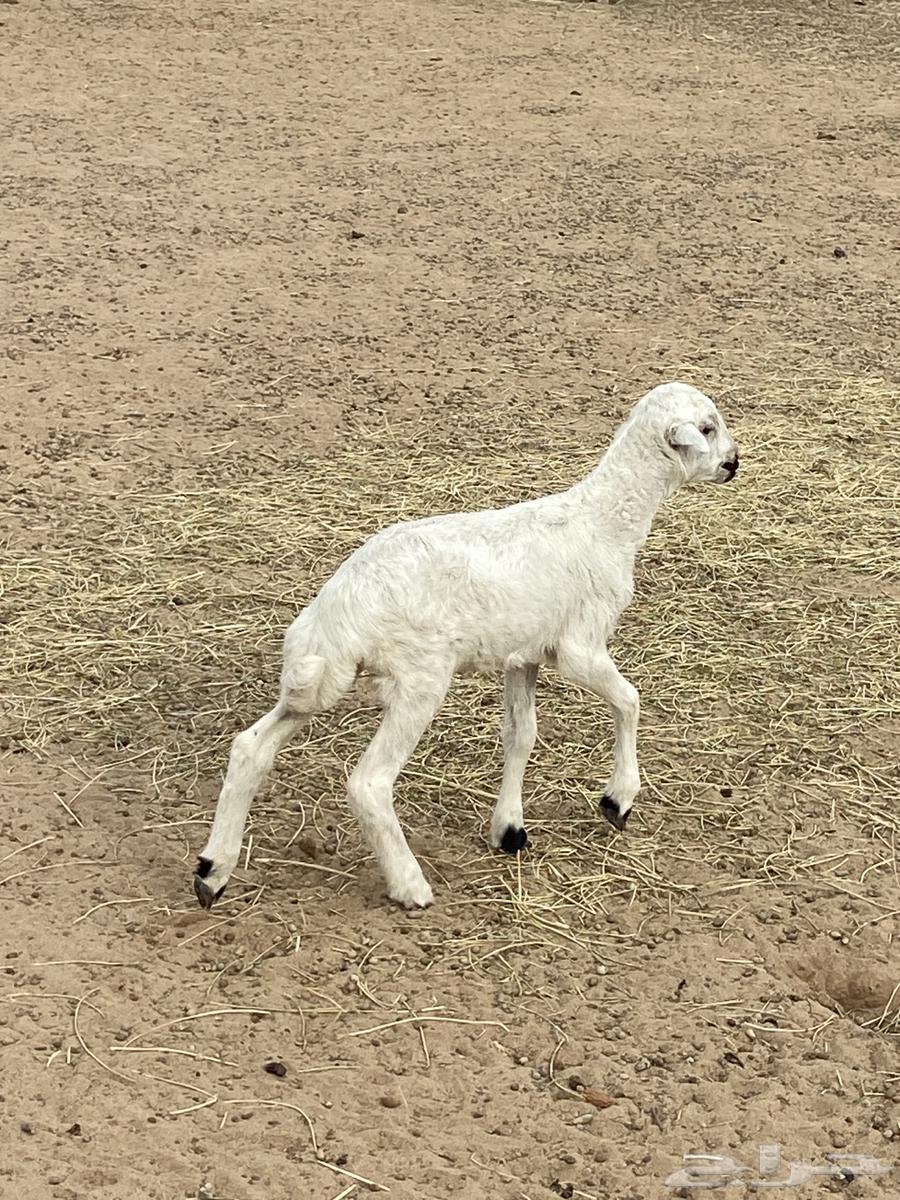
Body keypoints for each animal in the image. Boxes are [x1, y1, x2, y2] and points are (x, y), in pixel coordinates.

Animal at [193, 381, 738, 909]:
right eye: (707, 428)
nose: (735, 463)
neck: (605, 523)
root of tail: (340, 612)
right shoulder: (577, 645)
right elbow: (629, 699)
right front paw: (617, 800)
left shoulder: (523, 654)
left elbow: (521, 734)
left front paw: (509, 828)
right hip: (419, 676)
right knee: (369, 783)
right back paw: (410, 886)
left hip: (320, 678)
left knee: (250, 748)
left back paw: (211, 872)